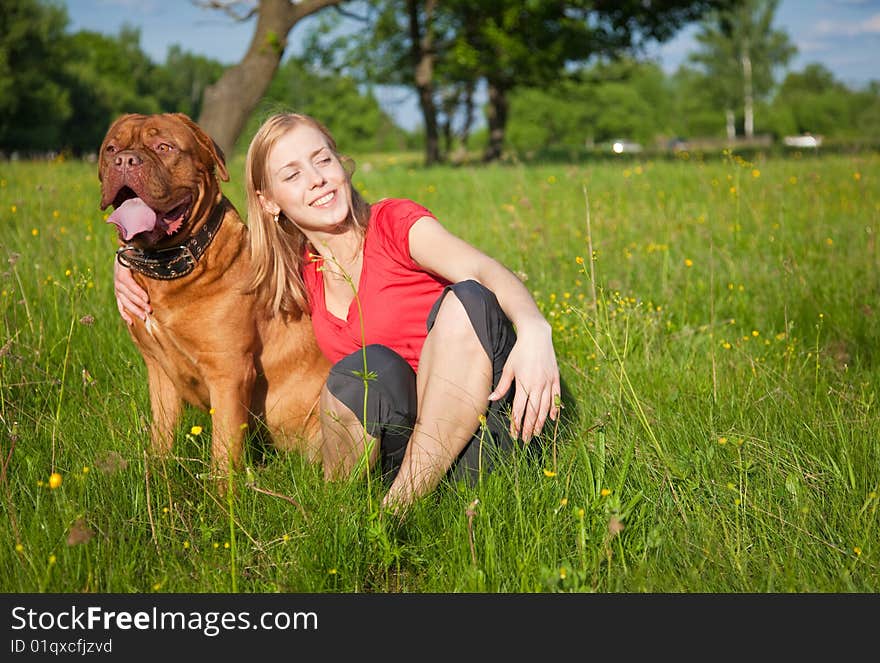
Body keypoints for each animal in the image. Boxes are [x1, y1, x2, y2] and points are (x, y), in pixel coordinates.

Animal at [97, 114, 330, 486]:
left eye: (165, 147)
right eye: (111, 149)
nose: (125, 161)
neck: (170, 265)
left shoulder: (229, 373)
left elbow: (223, 451)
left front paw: (224, 498)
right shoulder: (158, 369)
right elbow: (161, 434)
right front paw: (157, 477)